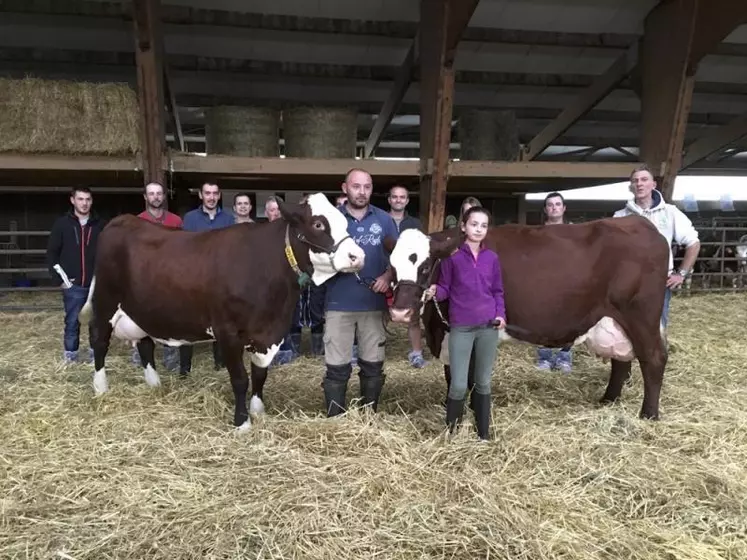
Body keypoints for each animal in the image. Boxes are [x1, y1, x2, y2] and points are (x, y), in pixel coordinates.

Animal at [79, 195, 366, 430]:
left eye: (345, 222)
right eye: (318, 225)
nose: (358, 256)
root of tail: (123, 219)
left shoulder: (269, 333)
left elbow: (260, 375)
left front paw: (258, 411)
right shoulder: (228, 332)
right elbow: (240, 379)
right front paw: (242, 422)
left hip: (142, 309)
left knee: (145, 343)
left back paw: (154, 384)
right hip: (105, 302)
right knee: (99, 340)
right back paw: (101, 388)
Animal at [386, 214, 672, 420]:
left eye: (424, 266)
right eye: (392, 266)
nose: (400, 311)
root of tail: (640, 222)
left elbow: (467, 376)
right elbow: (453, 375)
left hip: (640, 315)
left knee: (654, 358)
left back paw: (649, 414)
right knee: (621, 360)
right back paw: (608, 400)